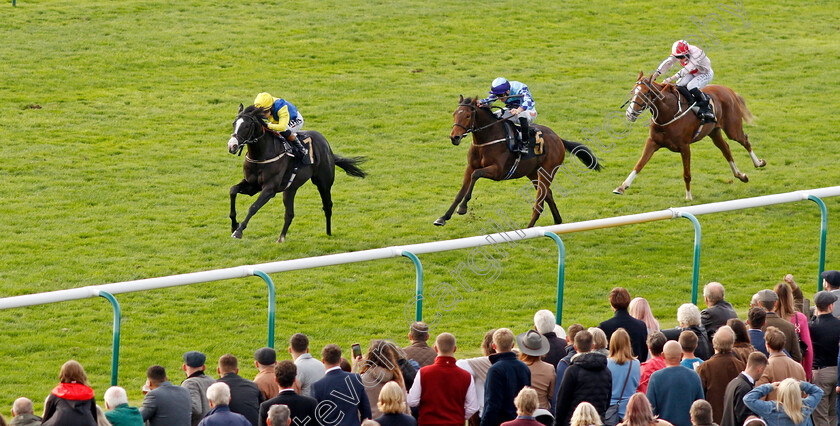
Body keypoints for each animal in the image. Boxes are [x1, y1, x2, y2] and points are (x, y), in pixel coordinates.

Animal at [228, 104, 366, 243]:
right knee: (290, 214)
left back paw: (328, 234)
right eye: (234, 123)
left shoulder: (270, 189)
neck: (261, 156)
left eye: (246, 126)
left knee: (327, 206)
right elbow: (233, 190)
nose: (232, 146)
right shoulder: (252, 185)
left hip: (323, 183)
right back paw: (281, 238)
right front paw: (234, 225)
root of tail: (327, 146)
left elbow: (253, 207)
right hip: (290, 189)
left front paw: (238, 232)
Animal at [440, 96, 604, 228]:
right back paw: (557, 221)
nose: (454, 137)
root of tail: (558, 138)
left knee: (540, 201)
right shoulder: (470, 167)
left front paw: (463, 208)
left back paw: (529, 229)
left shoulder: (498, 171)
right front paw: (443, 217)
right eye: (454, 114)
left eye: (468, 115)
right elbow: (461, 191)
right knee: (548, 194)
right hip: (532, 172)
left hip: (548, 171)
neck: (487, 139)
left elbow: (476, 174)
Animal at [612, 70, 764, 201]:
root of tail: (729, 91)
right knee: (726, 149)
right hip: (714, 132)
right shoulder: (652, 142)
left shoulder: (684, 147)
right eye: (633, 91)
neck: (669, 112)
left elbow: (686, 173)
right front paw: (622, 187)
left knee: (745, 140)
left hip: (733, 129)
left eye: (646, 93)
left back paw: (759, 163)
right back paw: (741, 175)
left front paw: (688, 196)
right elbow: (639, 164)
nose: (630, 114)